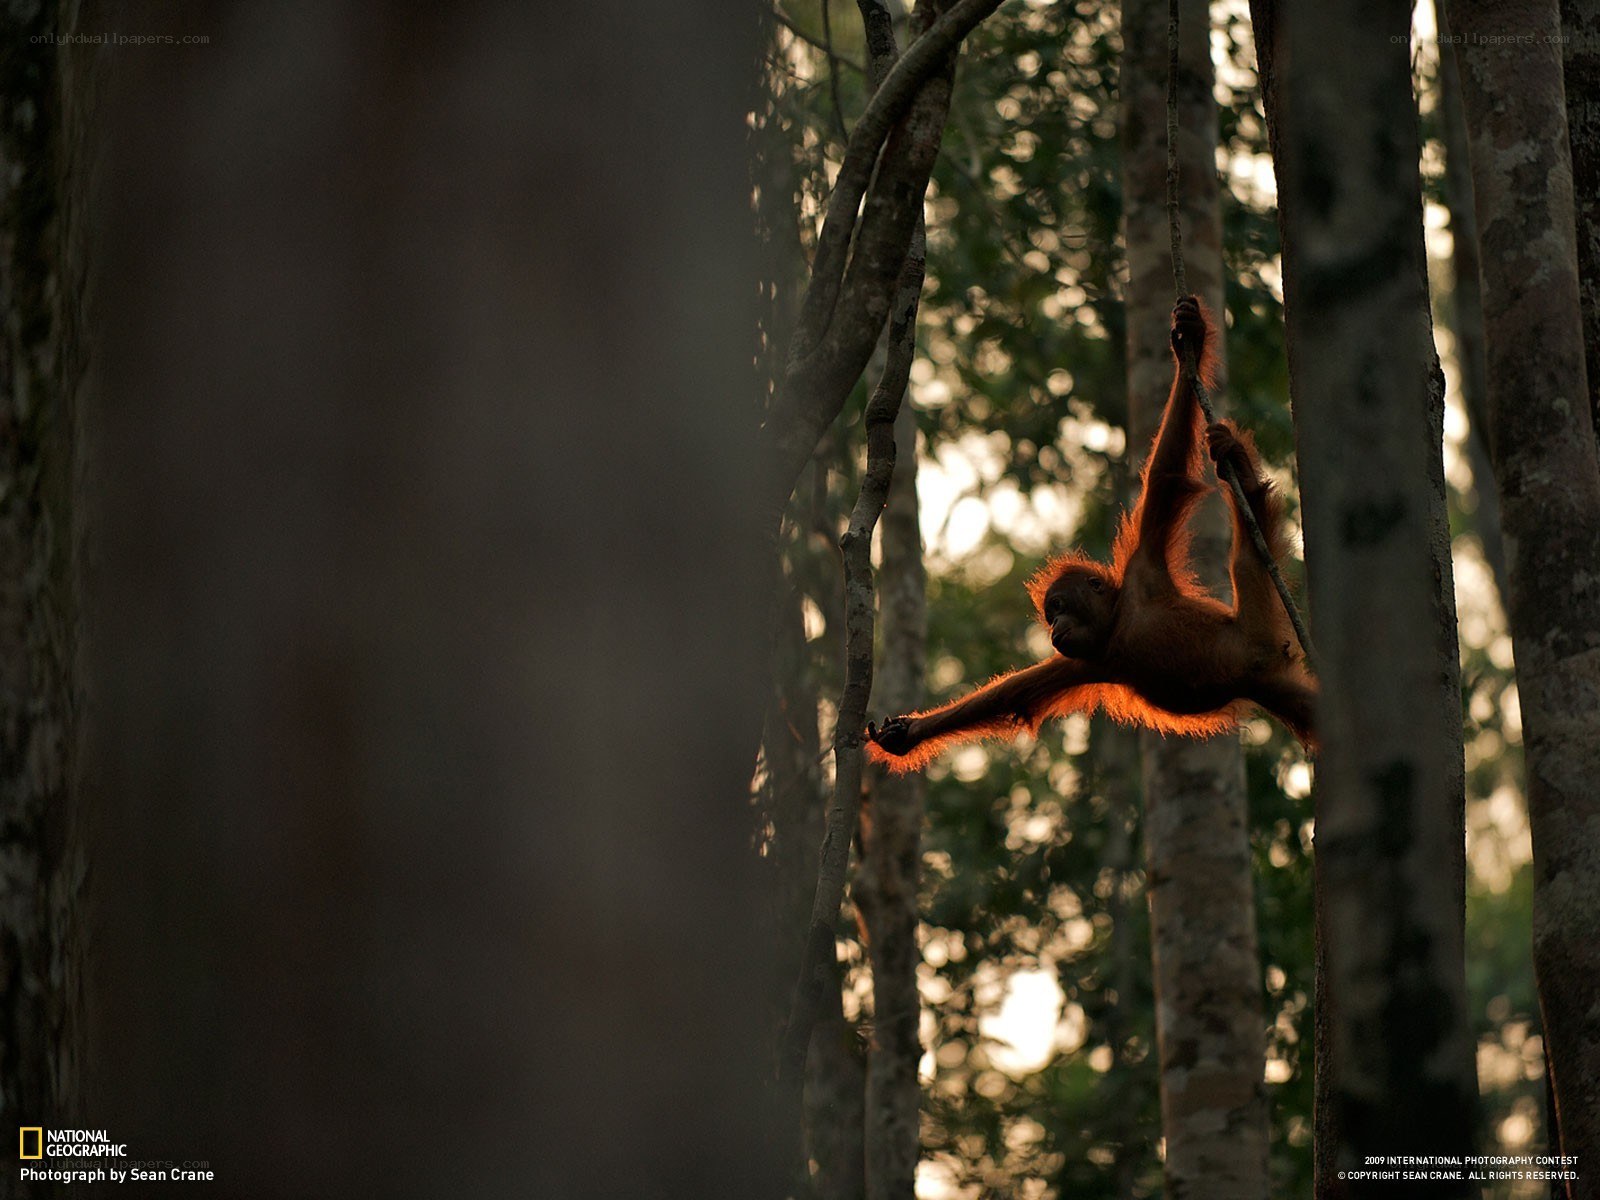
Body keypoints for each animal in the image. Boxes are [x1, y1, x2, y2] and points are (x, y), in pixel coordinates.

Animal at [866, 296, 1316, 773]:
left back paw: (1242, 473)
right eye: (1050, 617)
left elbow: (1167, 474)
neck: (1118, 627)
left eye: (1060, 607)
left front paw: (1188, 340)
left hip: (1259, 622)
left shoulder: (1143, 571)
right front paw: (906, 734)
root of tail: (1269, 657)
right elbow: (1011, 696)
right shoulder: (1086, 662)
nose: (1054, 628)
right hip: (1275, 684)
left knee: (1247, 557)